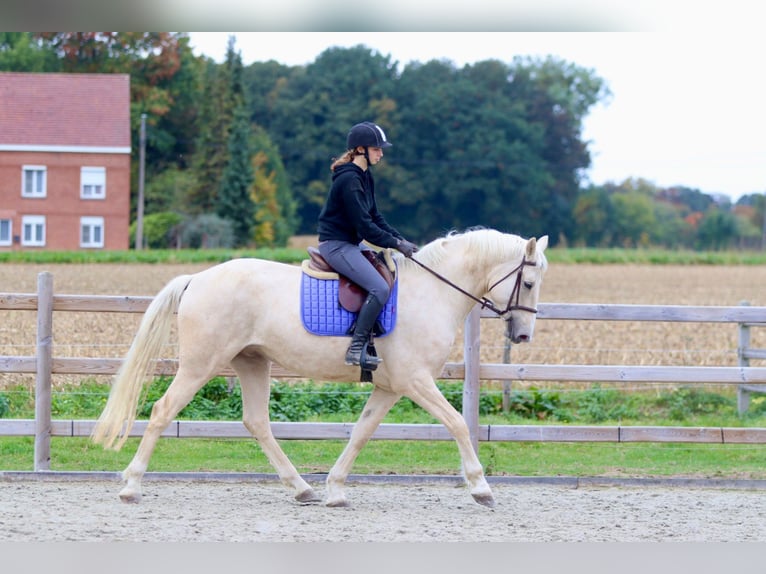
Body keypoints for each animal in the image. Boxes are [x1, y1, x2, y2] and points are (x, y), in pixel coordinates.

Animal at [91, 228, 549, 508]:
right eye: (528, 283)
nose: (525, 335)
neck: (432, 292)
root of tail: (198, 278)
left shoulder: (390, 387)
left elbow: (361, 432)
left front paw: (336, 489)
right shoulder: (415, 381)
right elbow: (456, 423)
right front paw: (481, 487)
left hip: (252, 362)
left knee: (257, 422)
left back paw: (302, 488)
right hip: (201, 364)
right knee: (162, 411)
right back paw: (131, 486)